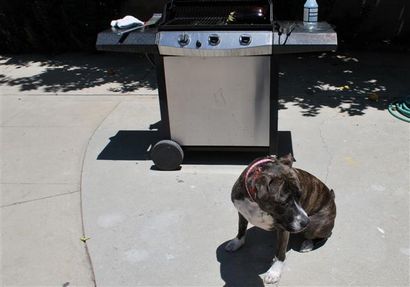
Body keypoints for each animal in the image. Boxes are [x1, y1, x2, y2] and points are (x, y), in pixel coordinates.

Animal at [224, 154, 336, 284]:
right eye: (284, 203)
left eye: (300, 195)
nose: (305, 222)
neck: (256, 204)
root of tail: (332, 198)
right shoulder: (242, 212)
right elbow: (241, 228)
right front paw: (237, 242)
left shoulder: (284, 229)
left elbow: (281, 252)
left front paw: (274, 272)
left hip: (315, 226)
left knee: (324, 235)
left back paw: (308, 244)